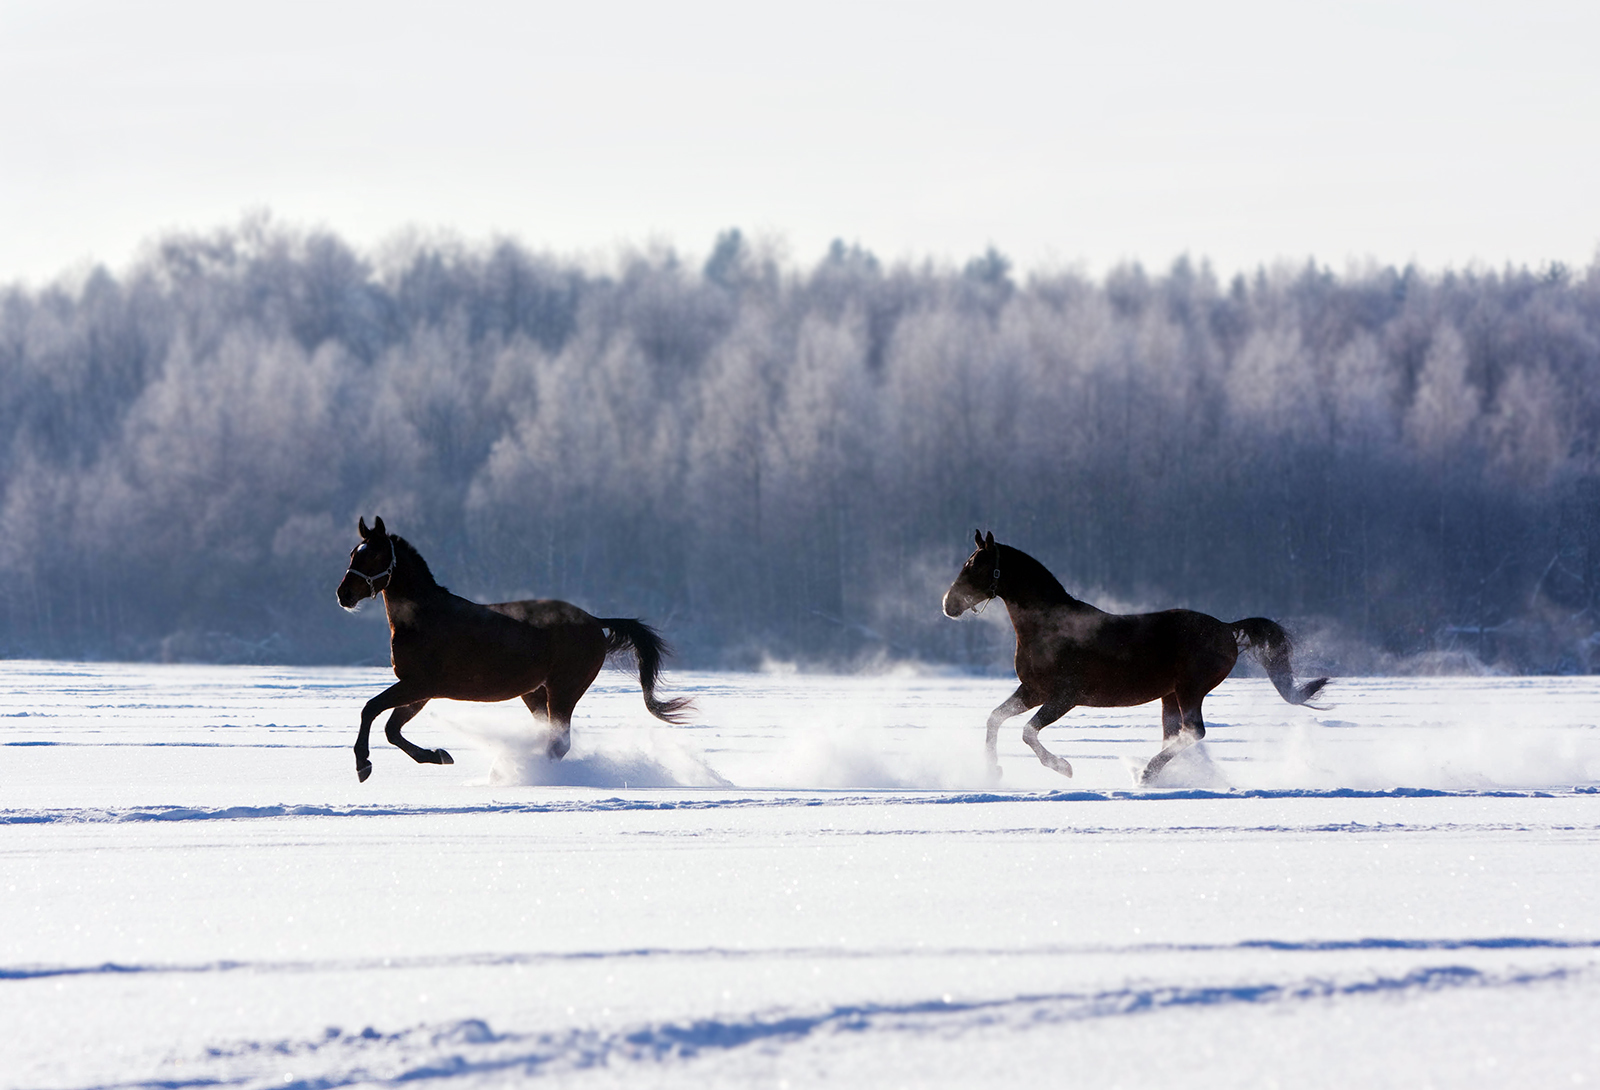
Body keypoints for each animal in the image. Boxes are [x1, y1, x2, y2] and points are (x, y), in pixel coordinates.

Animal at [334, 515, 691, 777]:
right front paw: (438, 755)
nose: (344, 595)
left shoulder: (419, 684)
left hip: (564, 689)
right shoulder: (419, 690)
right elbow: (392, 729)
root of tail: (594, 621)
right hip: (535, 693)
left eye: (375, 554)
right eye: (352, 553)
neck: (424, 617)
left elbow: (371, 710)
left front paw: (363, 764)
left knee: (558, 743)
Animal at [934, 528, 1324, 777]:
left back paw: (1147, 773)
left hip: (1190, 690)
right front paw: (993, 771)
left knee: (1193, 732)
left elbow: (1028, 732)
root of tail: (1226, 628)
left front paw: (1062, 768)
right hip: (1171, 695)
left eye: (976, 566)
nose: (948, 604)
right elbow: (995, 719)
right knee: (1177, 734)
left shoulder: (1065, 696)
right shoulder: (1033, 690)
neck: (1046, 629)